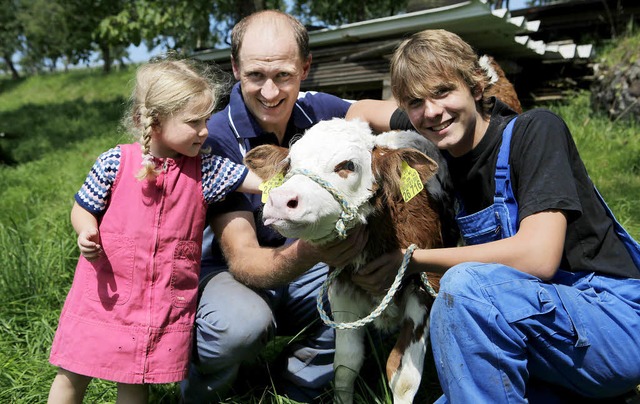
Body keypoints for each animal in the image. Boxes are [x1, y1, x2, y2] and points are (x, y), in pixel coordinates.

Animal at [242, 117, 458, 404]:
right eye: (288, 165)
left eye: (347, 165)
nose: (280, 201)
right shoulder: (342, 289)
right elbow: (346, 364)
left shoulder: (424, 287)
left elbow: (404, 377)